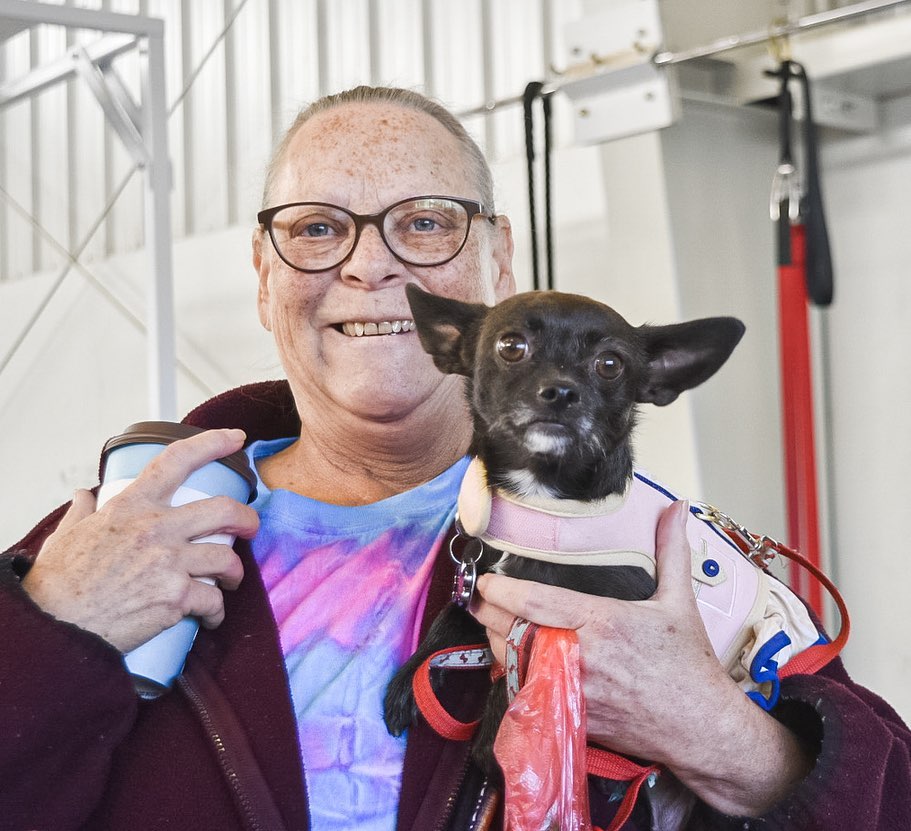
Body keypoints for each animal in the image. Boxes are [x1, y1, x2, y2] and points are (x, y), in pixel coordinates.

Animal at [382, 284, 744, 780]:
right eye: (510, 346)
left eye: (610, 364)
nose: (561, 391)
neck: (543, 506)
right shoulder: (480, 578)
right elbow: (450, 617)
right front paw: (410, 676)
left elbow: (514, 680)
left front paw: (500, 746)